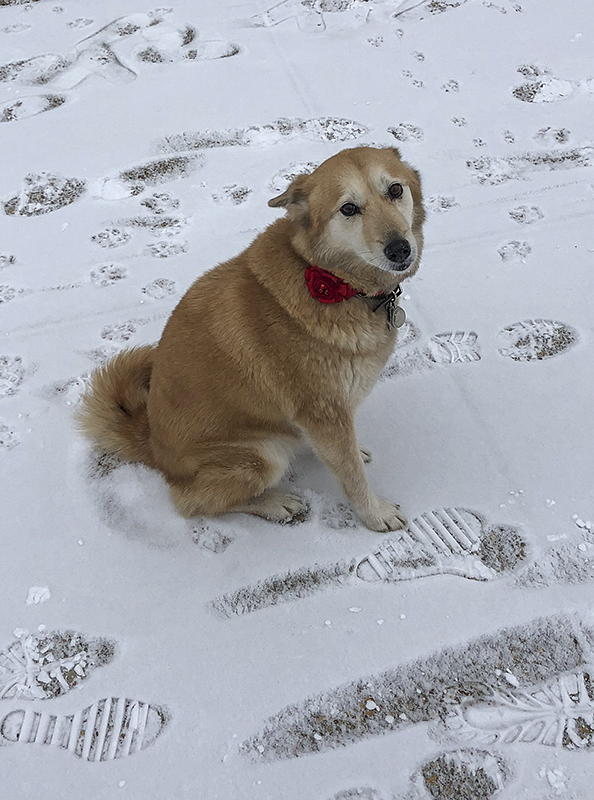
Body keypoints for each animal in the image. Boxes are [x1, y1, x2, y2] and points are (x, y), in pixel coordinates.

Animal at [80, 145, 420, 532]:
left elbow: (344, 455)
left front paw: (355, 454)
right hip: (259, 456)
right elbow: (351, 477)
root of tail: (150, 443)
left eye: (395, 189)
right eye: (348, 208)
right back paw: (273, 502)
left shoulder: (328, 420)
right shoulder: (325, 412)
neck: (329, 279)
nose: (399, 249)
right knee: (194, 503)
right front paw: (375, 514)